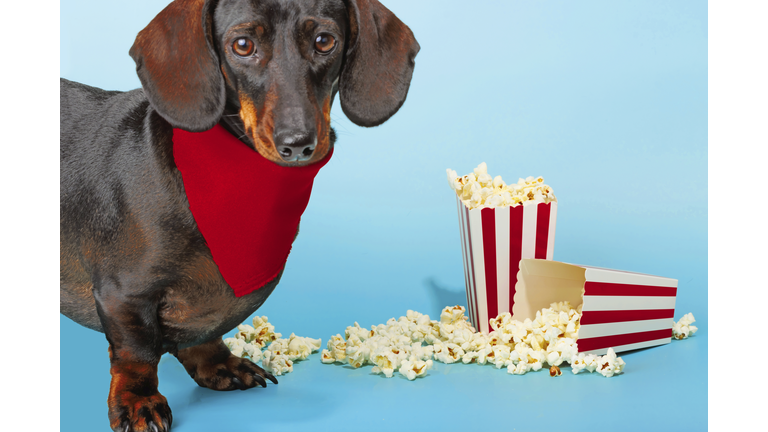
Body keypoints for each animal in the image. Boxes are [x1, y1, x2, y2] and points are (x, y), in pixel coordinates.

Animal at [60, 1, 420, 430]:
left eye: (324, 41)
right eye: (243, 45)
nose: (298, 144)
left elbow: (203, 336)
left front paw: (218, 363)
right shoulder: (124, 296)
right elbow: (136, 353)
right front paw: (138, 400)